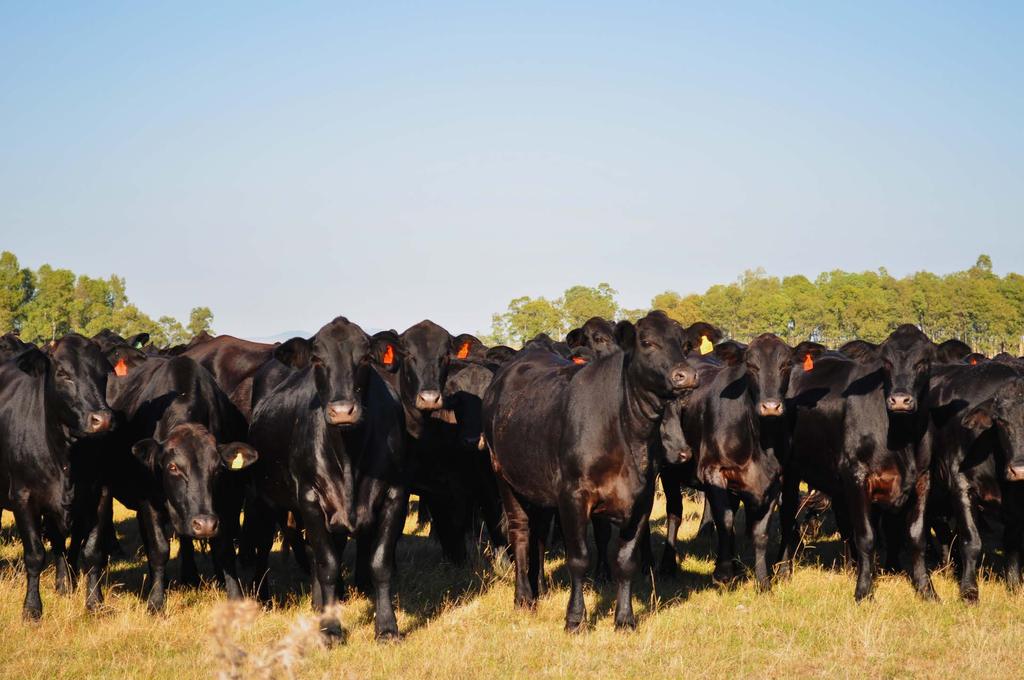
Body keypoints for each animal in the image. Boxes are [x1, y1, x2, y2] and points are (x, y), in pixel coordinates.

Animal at [0, 333, 113, 622]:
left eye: (103, 373)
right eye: (63, 373)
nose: (102, 419)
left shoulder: (100, 495)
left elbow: (91, 551)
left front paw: (95, 602)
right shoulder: (23, 497)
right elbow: (35, 555)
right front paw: (31, 608)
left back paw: (64, 584)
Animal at [485, 311, 696, 630]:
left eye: (684, 343)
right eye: (647, 342)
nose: (685, 375)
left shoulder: (642, 499)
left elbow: (626, 560)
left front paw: (625, 619)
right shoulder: (573, 496)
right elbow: (579, 559)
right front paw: (575, 619)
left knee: (538, 536)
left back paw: (539, 588)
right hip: (504, 477)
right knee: (520, 534)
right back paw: (524, 598)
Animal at [778, 325, 937, 602]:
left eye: (923, 362)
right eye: (886, 362)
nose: (900, 400)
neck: (901, 437)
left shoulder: (922, 478)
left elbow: (916, 536)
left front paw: (926, 590)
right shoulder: (858, 476)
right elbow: (866, 536)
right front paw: (864, 591)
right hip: (790, 472)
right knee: (788, 517)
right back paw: (785, 571)